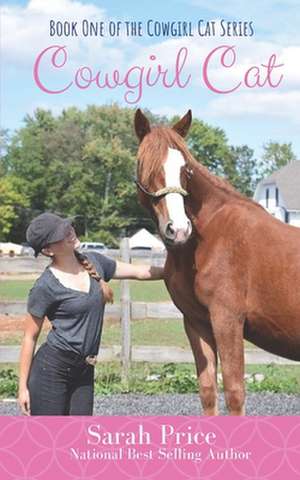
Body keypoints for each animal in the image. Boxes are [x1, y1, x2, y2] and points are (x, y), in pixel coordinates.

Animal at [135, 108, 300, 412]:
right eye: (145, 164)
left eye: (185, 169)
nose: (179, 229)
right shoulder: (196, 323)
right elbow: (208, 389)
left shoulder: (227, 320)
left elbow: (235, 392)